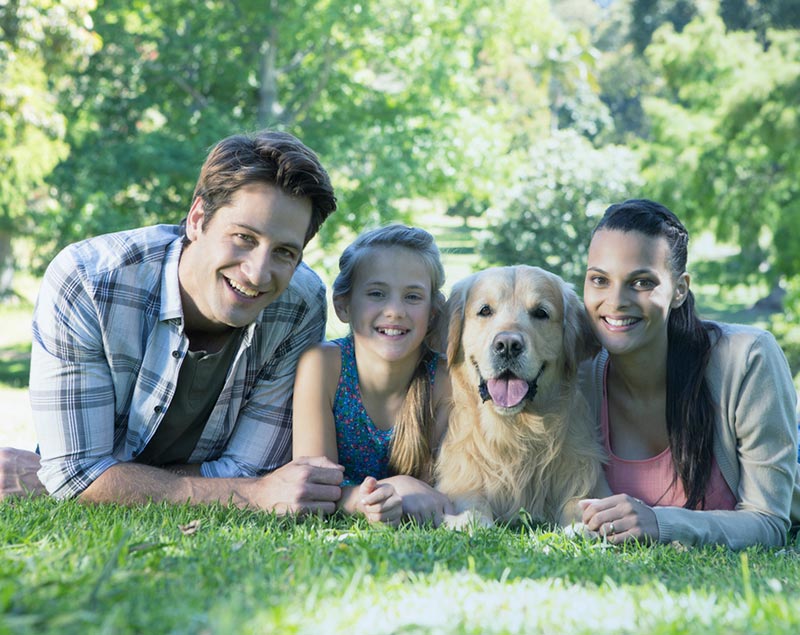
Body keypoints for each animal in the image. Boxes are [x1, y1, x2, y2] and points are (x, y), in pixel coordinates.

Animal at [434, 266, 608, 528]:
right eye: (485, 310)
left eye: (541, 313)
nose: (507, 345)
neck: (516, 429)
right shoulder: (460, 478)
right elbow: (472, 502)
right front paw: (471, 522)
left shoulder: (582, 475)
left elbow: (578, 502)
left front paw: (580, 525)